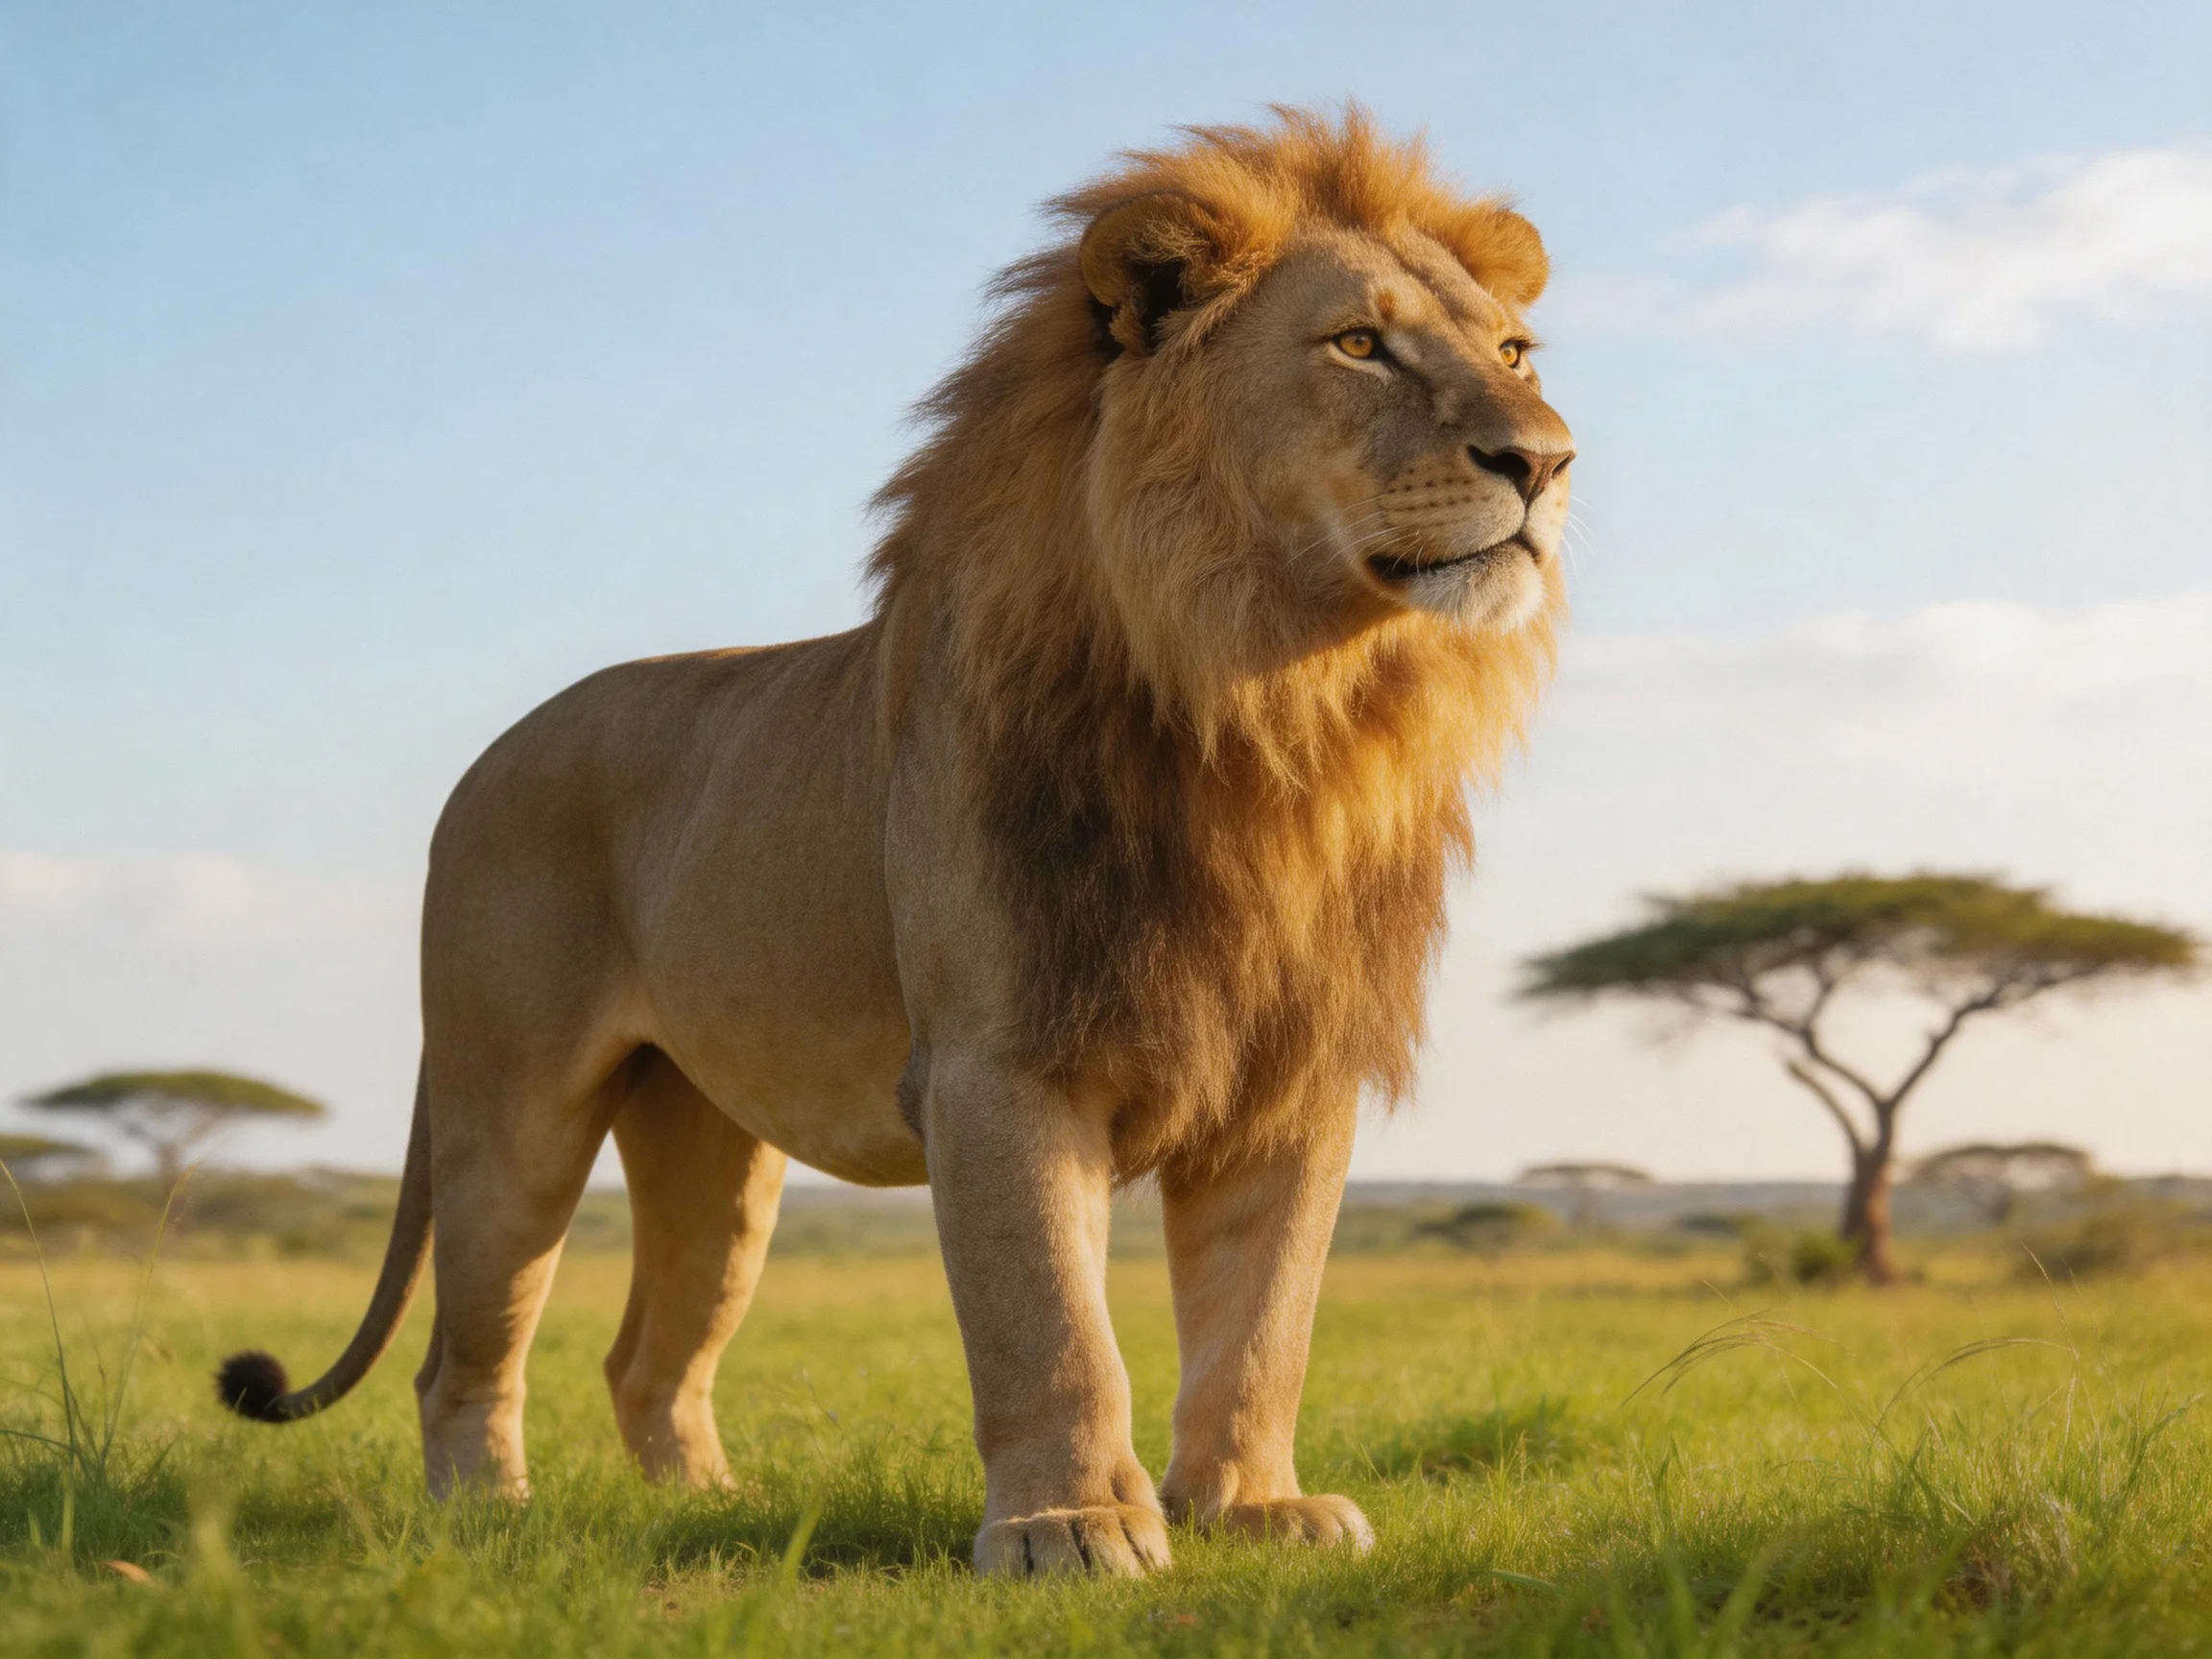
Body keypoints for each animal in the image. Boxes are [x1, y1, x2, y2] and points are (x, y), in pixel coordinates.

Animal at [215, 106, 1573, 1578]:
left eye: (1513, 353)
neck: (1273, 704)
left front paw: (1253, 1509)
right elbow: (1050, 1324)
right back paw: (487, 1521)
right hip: (508, 1103)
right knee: (466, 1349)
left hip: (711, 1149)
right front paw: (1071, 1529)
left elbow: (1265, 1322)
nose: (1546, 461)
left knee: (648, 1358)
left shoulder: (1292, 1074)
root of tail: (488, 759)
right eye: (1359, 344)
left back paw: (715, 1515)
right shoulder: (997, 1063)